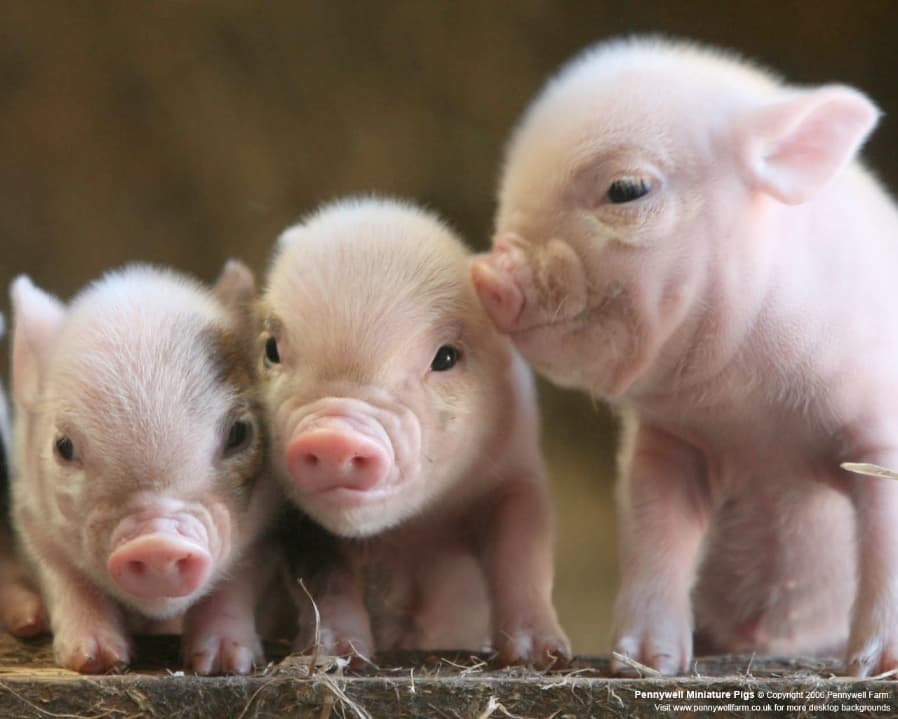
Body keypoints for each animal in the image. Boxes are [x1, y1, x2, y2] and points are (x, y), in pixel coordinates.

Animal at [10, 262, 282, 674]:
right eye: (64, 446)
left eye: (239, 433)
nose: (157, 544)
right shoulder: (32, 520)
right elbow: (68, 578)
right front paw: (95, 661)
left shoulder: (268, 531)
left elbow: (235, 582)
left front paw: (224, 665)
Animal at [260, 197, 570, 668]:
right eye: (271, 349)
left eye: (445, 357)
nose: (333, 438)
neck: (408, 533)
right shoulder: (292, 516)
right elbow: (324, 577)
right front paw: (337, 654)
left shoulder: (516, 472)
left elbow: (521, 552)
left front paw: (541, 656)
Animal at [471, 35, 898, 677]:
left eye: (627, 189)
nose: (486, 273)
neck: (756, 417)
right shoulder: (669, 443)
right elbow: (657, 536)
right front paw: (643, 663)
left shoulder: (880, 434)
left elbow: (885, 541)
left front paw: (874, 668)